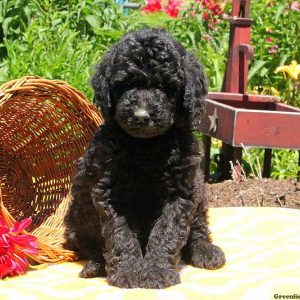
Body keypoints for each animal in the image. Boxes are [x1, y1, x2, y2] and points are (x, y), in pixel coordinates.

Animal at [65, 28, 225, 288]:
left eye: (165, 87)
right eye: (126, 85)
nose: (141, 116)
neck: (146, 147)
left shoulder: (180, 192)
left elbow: (166, 232)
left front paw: (156, 270)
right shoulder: (110, 193)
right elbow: (120, 235)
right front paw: (129, 271)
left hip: (199, 192)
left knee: (199, 227)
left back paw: (205, 250)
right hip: (75, 219)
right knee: (90, 245)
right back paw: (95, 265)